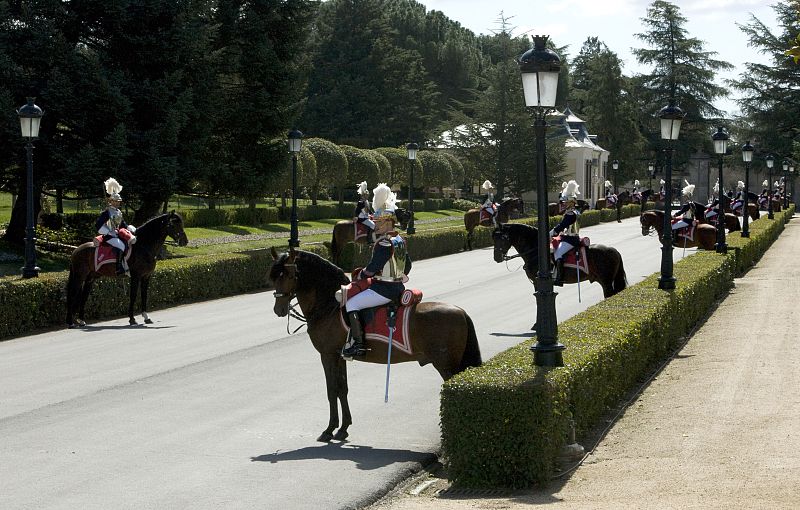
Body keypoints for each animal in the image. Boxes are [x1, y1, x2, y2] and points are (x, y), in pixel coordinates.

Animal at [268, 247, 482, 442]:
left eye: (289, 275)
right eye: (274, 277)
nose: (279, 309)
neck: (329, 306)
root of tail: (461, 311)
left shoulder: (327, 355)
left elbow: (331, 390)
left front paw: (329, 429)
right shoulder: (340, 356)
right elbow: (342, 389)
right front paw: (343, 428)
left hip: (447, 366)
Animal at [491, 223, 627, 299]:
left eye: (503, 238)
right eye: (493, 238)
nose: (496, 258)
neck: (536, 249)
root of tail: (614, 250)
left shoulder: (537, 281)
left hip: (606, 282)